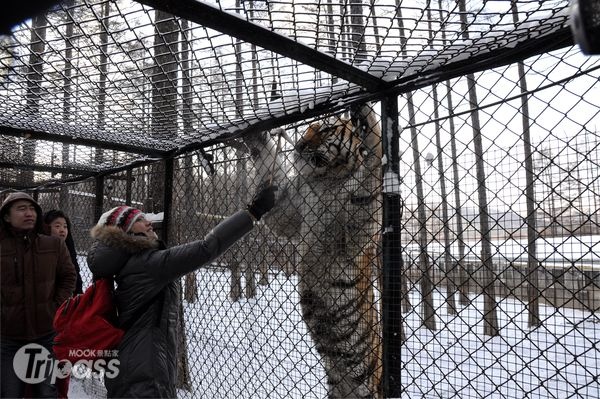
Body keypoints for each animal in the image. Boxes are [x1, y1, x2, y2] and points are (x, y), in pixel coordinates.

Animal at [244, 104, 384, 399]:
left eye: (327, 130)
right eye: (308, 128)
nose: (298, 145)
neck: (325, 179)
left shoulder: (353, 234)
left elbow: (371, 173)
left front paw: (367, 121)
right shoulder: (291, 211)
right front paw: (256, 135)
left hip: (365, 375)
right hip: (336, 381)